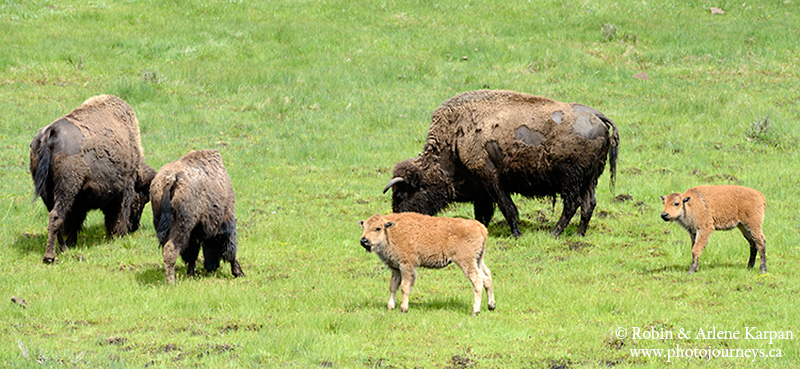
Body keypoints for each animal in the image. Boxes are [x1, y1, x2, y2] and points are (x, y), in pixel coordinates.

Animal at [29, 94, 156, 262]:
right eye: (143, 198)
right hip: (66, 187)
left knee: (55, 217)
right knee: (56, 216)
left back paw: (63, 249)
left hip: (48, 192)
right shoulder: (125, 189)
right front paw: (117, 235)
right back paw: (50, 256)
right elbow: (119, 213)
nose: (134, 227)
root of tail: (51, 132)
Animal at [151, 148, 244, 284]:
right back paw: (171, 282)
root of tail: (172, 179)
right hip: (182, 226)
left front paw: (191, 273)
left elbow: (192, 254)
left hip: (160, 222)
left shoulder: (194, 233)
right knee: (170, 249)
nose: (212, 267)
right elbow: (230, 250)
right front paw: (238, 272)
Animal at [358, 211, 494, 314]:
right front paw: (390, 306)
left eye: (378, 228)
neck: (391, 231)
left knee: (477, 279)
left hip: (466, 261)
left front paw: (403, 308)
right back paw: (491, 306)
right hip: (478, 259)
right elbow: (393, 286)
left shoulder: (406, 266)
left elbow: (404, 287)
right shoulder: (395, 269)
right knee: (486, 276)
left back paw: (475, 310)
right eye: (364, 227)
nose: (363, 240)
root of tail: (481, 228)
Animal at [382, 89, 620, 236]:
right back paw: (579, 234)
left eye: (402, 194)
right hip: (589, 179)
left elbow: (507, 207)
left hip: (570, 179)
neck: (455, 139)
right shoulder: (482, 190)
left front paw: (516, 233)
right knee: (588, 204)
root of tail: (596, 116)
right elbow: (483, 212)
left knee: (572, 204)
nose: (396, 223)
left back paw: (554, 233)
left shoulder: (491, 179)